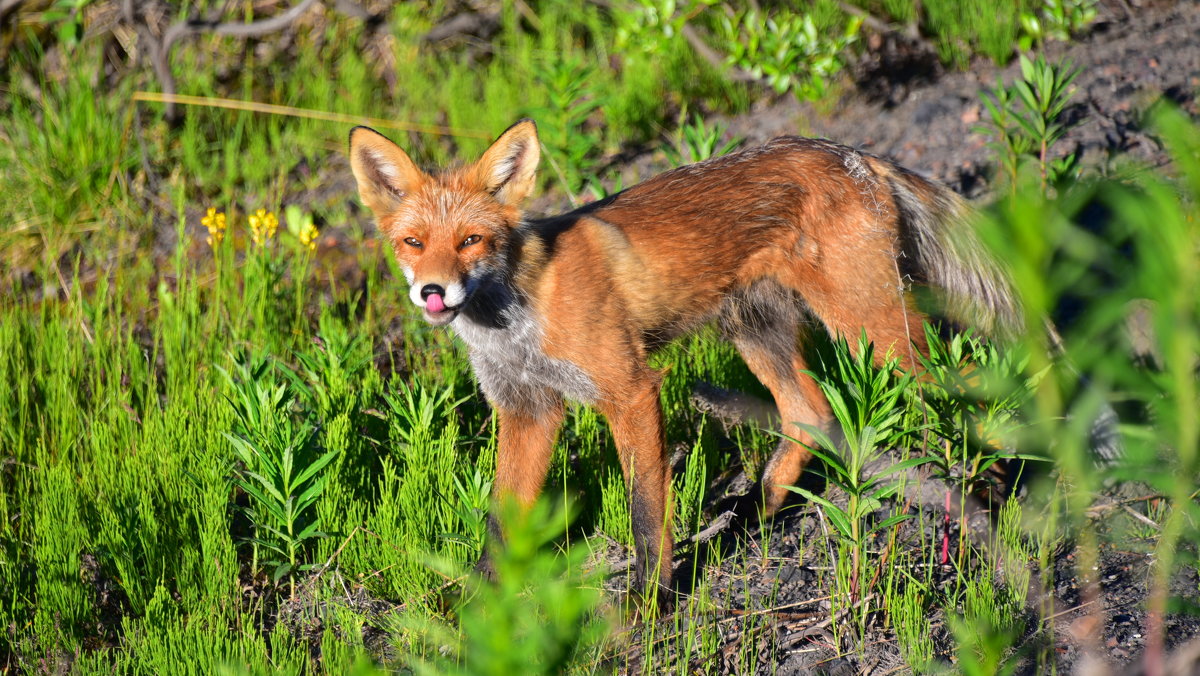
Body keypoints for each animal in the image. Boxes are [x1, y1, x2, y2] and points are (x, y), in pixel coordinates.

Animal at [348, 118, 1022, 600]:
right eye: (413, 243)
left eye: (471, 241)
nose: (432, 292)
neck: (518, 321)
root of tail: (853, 154)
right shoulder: (528, 409)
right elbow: (500, 523)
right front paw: (477, 612)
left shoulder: (630, 389)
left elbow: (646, 513)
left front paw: (650, 604)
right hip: (757, 331)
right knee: (809, 414)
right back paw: (755, 517)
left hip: (874, 331)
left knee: (966, 381)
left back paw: (990, 497)